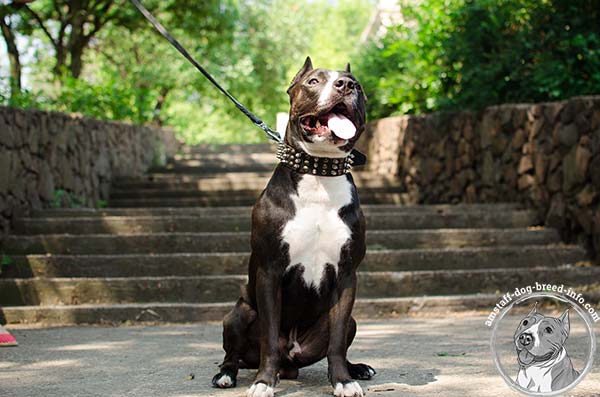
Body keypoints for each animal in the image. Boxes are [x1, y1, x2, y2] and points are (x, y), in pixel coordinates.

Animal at [212, 56, 376, 396]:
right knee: (234, 352)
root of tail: (291, 363)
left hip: (349, 321)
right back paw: (227, 374)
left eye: (358, 86)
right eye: (314, 81)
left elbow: (337, 342)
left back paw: (356, 368)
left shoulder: (346, 276)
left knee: (339, 341)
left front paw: (343, 380)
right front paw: (263, 382)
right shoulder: (270, 272)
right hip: (237, 313)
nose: (345, 85)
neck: (319, 173)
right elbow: (269, 337)